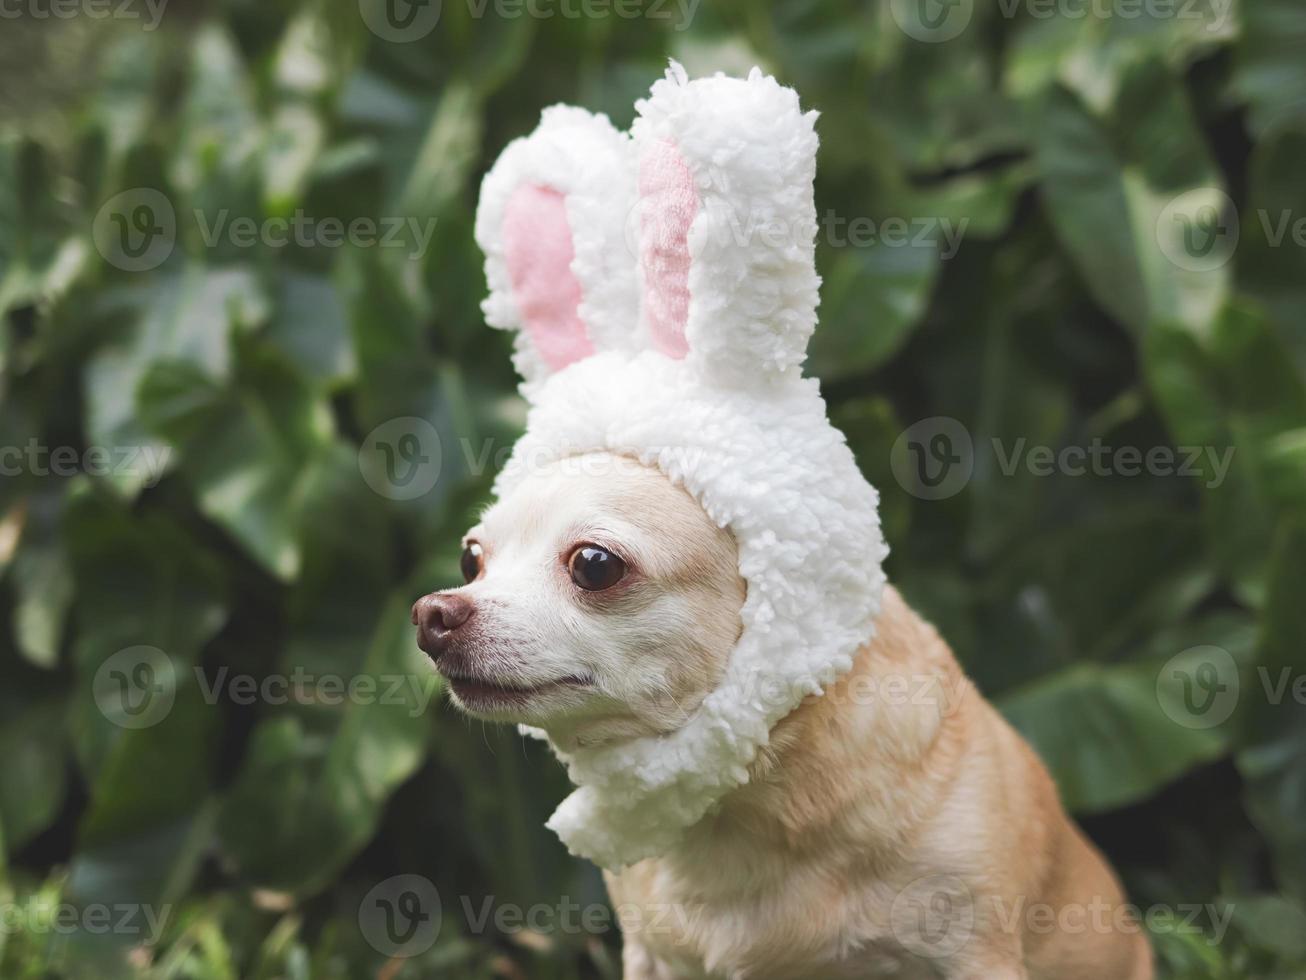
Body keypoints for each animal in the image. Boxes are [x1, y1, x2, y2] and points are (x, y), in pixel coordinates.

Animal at [410, 452, 1154, 980]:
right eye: (471, 559)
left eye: (595, 565)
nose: (431, 614)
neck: (742, 810)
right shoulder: (652, 959)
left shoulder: (975, 956)